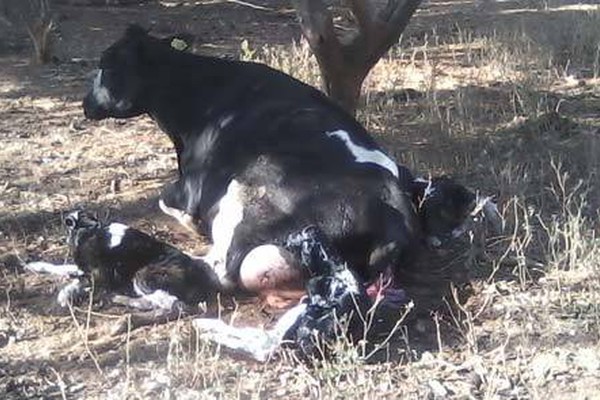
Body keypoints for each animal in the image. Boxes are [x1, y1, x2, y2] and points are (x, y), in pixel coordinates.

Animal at [81, 25, 492, 306]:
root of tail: (392, 210)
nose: (85, 104)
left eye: (106, 65)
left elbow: (168, 202)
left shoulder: (188, 189)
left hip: (248, 203)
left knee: (220, 271)